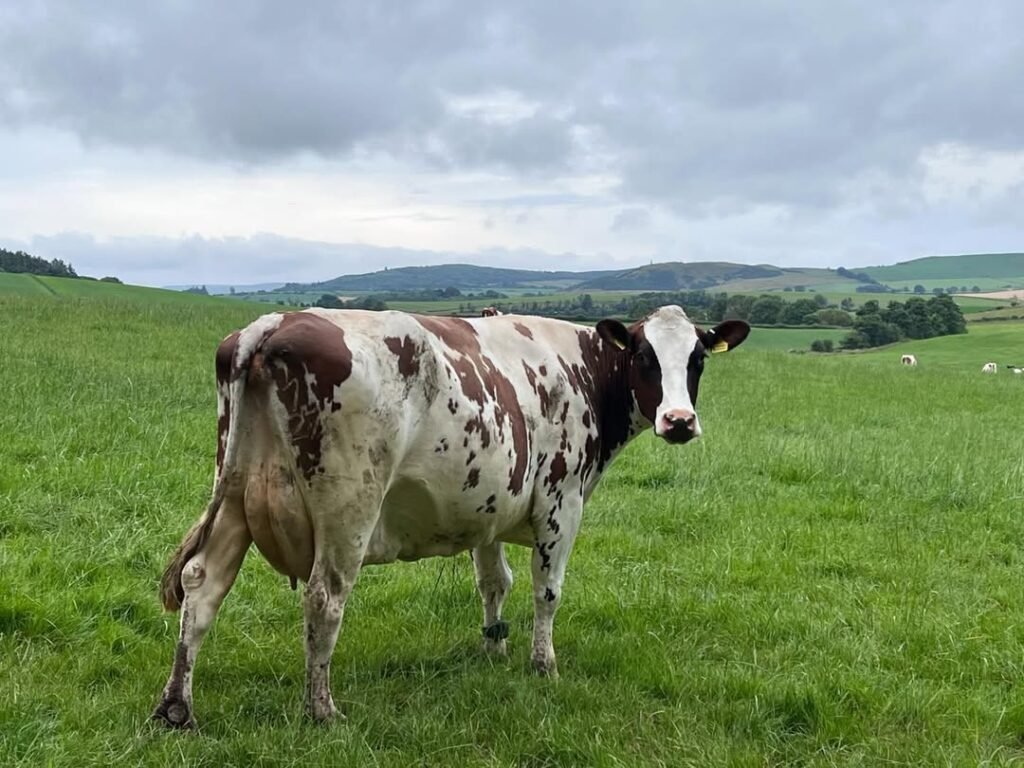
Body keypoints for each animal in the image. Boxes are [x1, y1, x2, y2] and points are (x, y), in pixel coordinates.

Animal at [153, 306, 750, 728]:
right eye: (646, 357)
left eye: (697, 359)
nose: (679, 421)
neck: (581, 368)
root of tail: (274, 322)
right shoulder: (562, 502)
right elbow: (547, 590)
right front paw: (544, 665)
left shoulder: (488, 505)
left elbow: (495, 581)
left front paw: (494, 646)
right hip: (349, 506)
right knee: (324, 598)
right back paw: (321, 710)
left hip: (236, 492)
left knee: (202, 584)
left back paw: (177, 707)